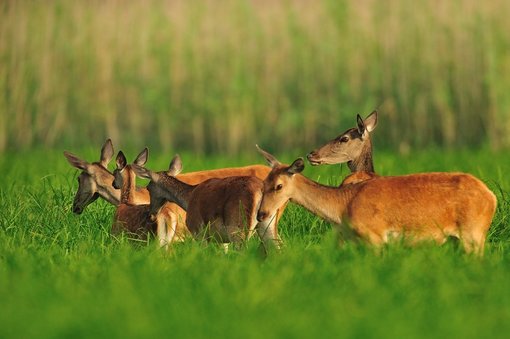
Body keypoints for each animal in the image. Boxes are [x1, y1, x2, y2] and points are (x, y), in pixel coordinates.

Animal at [131, 155, 282, 251]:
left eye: (148, 188)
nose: (151, 214)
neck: (188, 199)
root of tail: (260, 191)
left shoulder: (198, 231)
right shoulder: (220, 240)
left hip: (238, 228)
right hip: (267, 224)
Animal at [256, 147, 496, 256]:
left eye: (278, 186)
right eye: (263, 183)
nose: (261, 214)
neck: (343, 206)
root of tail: (491, 197)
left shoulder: (376, 237)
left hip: (473, 234)